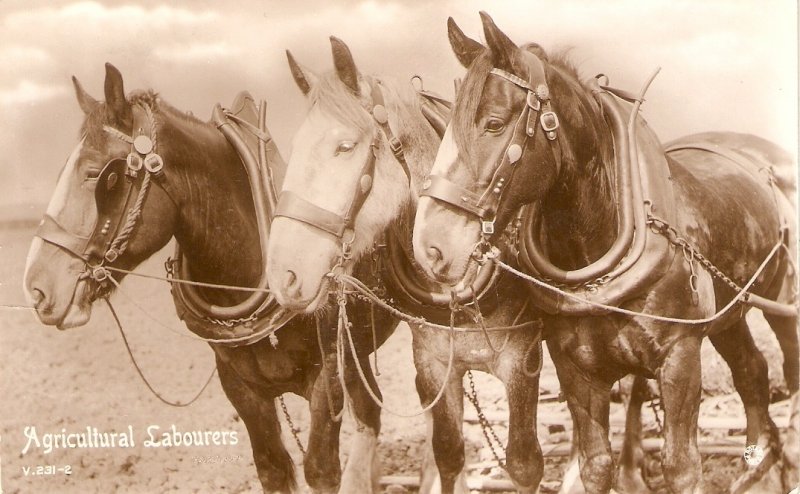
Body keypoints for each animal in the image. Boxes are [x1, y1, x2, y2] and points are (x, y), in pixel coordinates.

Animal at [25, 63, 396, 492]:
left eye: (94, 175)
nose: (37, 287)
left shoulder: (328, 375)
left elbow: (321, 469)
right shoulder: (240, 387)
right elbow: (272, 467)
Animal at [412, 12, 800, 494]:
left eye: (495, 124)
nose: (431, 246)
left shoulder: (680, 359)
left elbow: (681, 467)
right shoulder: (577, 371)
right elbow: (596, 465)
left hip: (781, 300)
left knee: (788, 368)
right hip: (729, 314)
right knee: (752, 371)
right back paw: (756, 465)